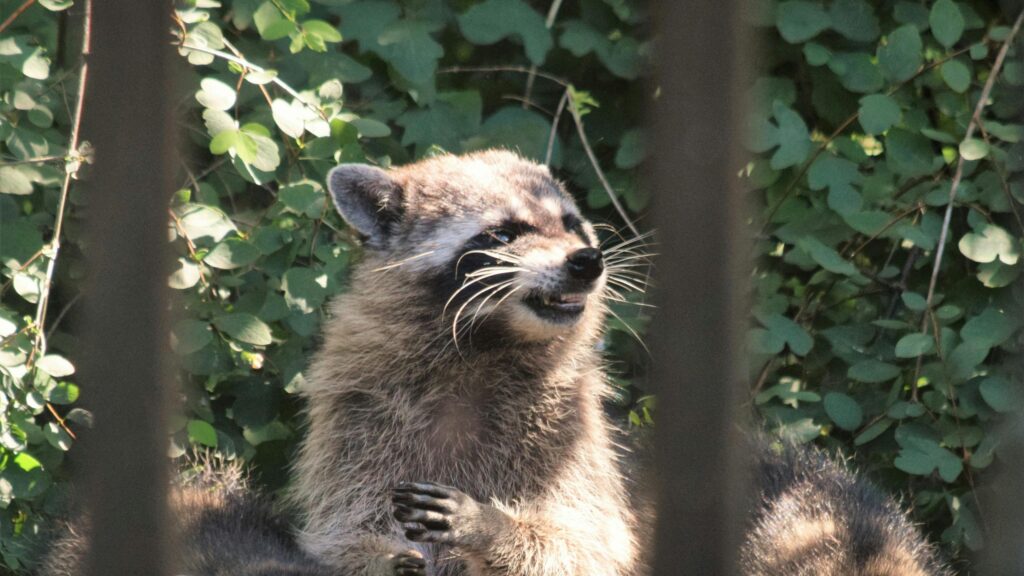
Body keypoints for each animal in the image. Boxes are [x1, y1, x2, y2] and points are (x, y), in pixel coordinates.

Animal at [290, 150, 642, 576]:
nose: (588, 261)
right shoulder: (355, 416)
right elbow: (342, 531)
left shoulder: (568, 427)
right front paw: (382, 558)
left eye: (571, 224)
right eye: (503, 234)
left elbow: (578, 546)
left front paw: (492, 524)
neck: (483, 345)